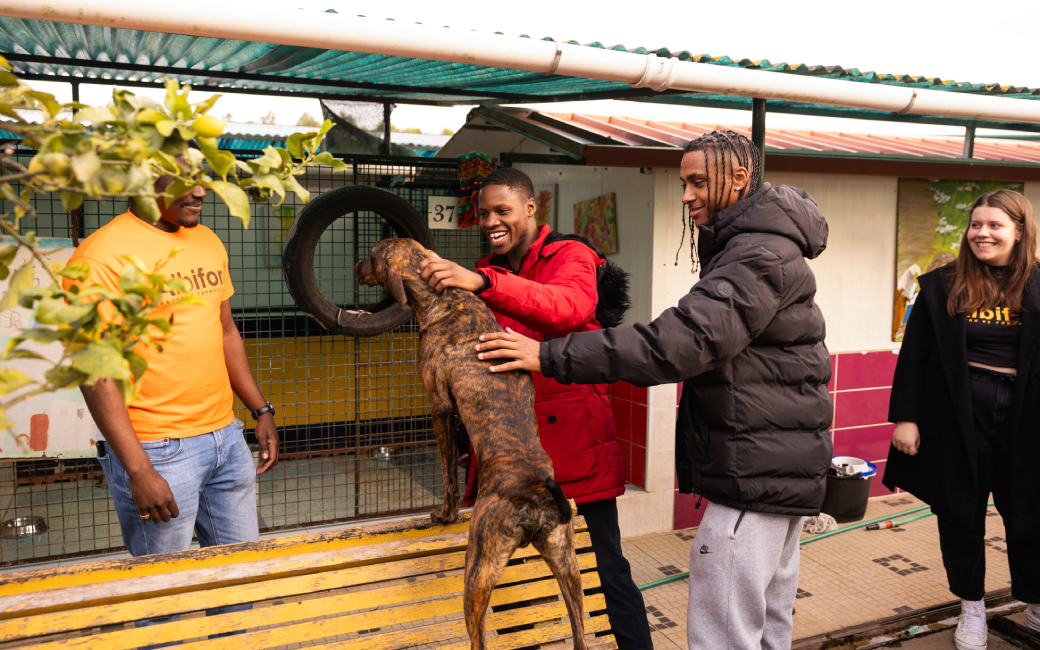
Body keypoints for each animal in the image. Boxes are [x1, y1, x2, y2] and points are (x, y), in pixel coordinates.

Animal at [355, 238, 586, 648]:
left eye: (371, 255)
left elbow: (448, 471)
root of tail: (536, 495)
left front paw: (444, 514)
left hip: (477, 574)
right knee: (580, 634)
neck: (444, 296)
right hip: (568, 568)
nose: (353, 267)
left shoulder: (440, 408)